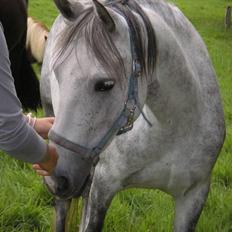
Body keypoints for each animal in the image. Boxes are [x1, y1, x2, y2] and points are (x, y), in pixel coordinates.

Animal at [40, 0, 226, 231]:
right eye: (56, 73)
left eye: (106, 84)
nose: (55, 177)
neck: (174, 128)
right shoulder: (103, 187)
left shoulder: (194, 196)